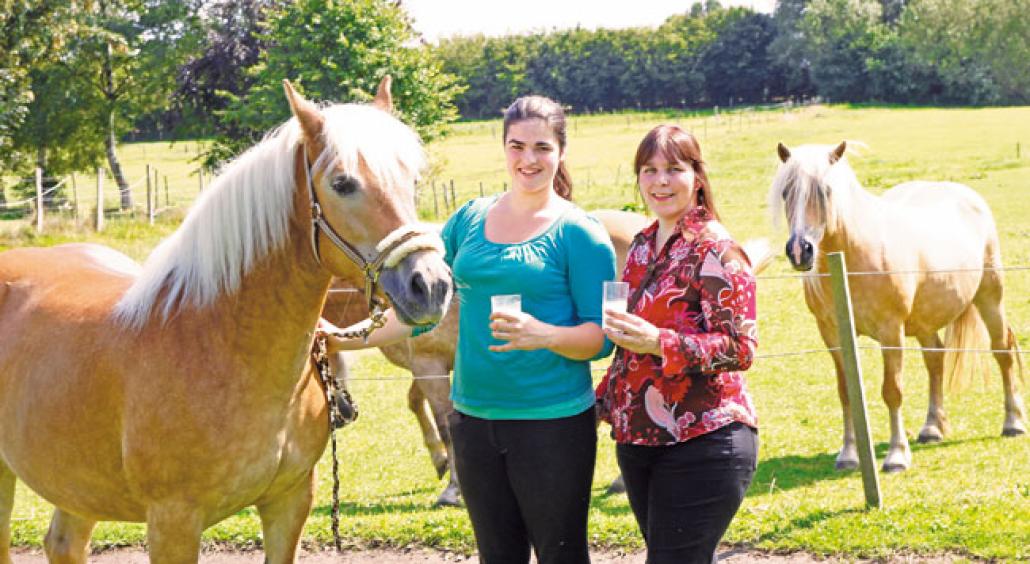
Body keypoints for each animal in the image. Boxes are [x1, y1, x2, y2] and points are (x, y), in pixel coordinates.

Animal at [0, 76, 451, 564]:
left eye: (411, 179)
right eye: (343, 183)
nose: (430, 284)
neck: (218, 341)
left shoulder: (289, 503)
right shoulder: (173, 523)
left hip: (78, 484)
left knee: (64, 542)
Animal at [774, 139, 1021, 471]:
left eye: (825, 190)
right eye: (786, 192)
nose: (800, 251)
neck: (853, 259)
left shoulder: (891, 331)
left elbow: (892, 391)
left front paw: (896, 455)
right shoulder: (833, 335)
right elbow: (846, 393)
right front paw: (848, 454)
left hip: (990, 297)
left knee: (1002, 350)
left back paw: (1013, 422)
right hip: (927, 319)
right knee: (935, 359)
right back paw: (931, 428)